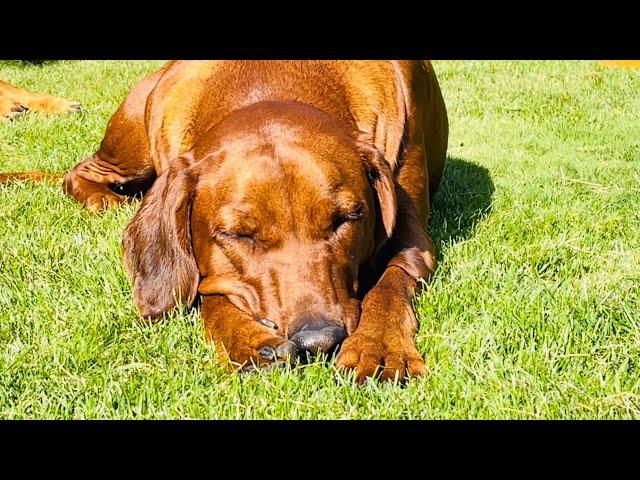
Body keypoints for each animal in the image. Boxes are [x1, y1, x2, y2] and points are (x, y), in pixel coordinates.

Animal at [7, 61, 448, 382]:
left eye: (348, 218)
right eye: (239, 235)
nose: (319, 339)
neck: (277, 81)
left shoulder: (412, 236)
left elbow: (390, 282)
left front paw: (379, 346)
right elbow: (206, 287)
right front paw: (250, 340)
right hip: (131, 137)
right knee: (77, 173)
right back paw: (104, 198)